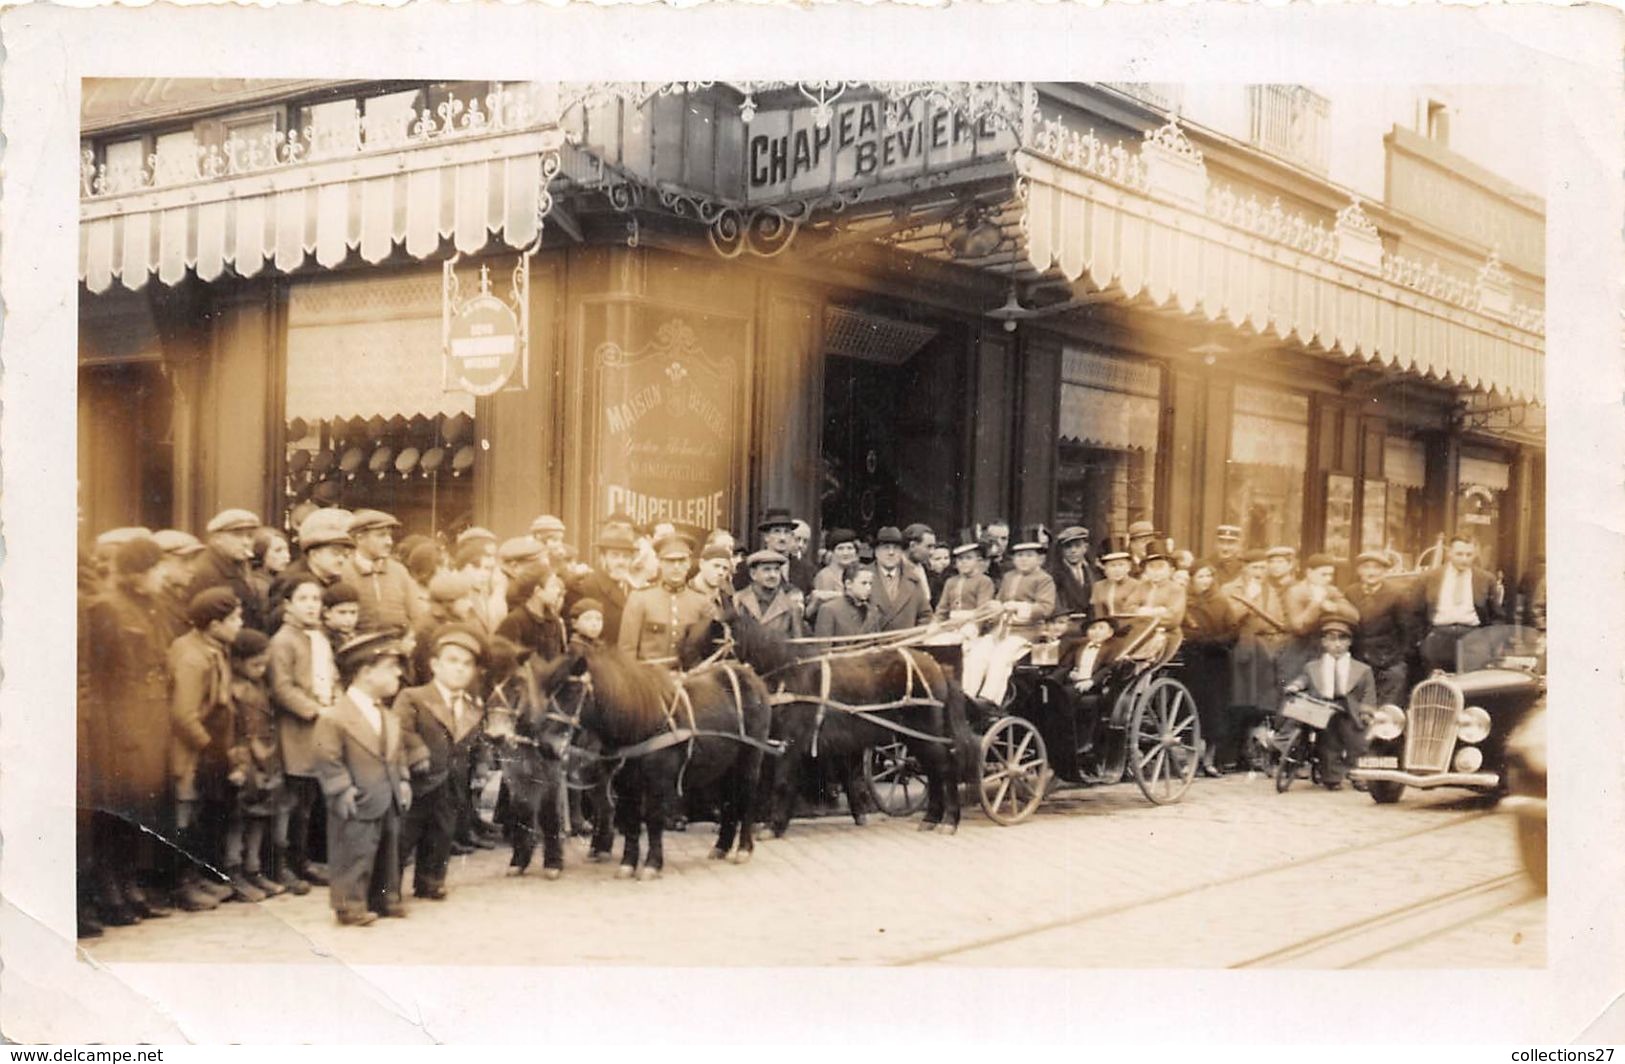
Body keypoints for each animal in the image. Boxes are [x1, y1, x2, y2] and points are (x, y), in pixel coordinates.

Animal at [520, 640, 773, 883]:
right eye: (548, 691)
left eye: (572, 690)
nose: (545, 745)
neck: (641, 724)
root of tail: (750, 675)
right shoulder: (625, 784)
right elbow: (631, 821)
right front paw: (628, 864)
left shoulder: (658, 783)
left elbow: (652, 820)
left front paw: (652, 864)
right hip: (724, 766)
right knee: (729, 801)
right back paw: (722, 846)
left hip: (749, 760)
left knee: (747, 798)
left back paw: (743, 849)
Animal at [689, 617, 975, 838]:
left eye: (712, 647)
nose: (694, 686)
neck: (787, 677)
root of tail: (937, 666)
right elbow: (768, 783)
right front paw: (770, 822)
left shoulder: (789, 744)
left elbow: (781, 782)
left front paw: (773, 826)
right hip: (914, 737)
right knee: (933, 772)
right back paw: (931, 819)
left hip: (925, 734)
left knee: (944, 770)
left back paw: (948, 821)